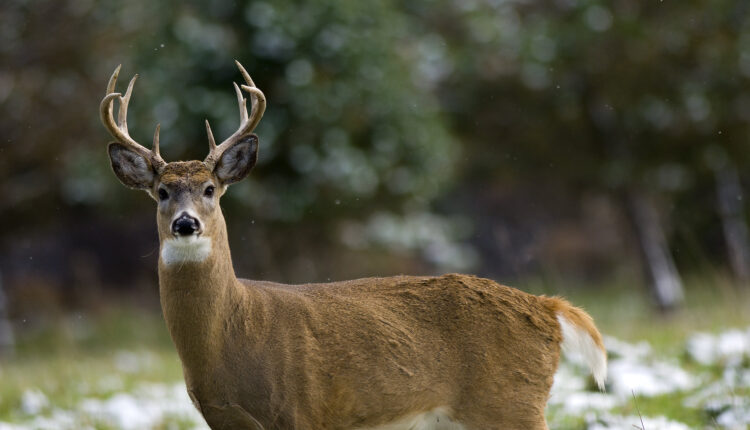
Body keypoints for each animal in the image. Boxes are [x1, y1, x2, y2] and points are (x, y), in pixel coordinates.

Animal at [100, 61, 607, 430]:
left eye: (209, 188)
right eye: (162, 192)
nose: (186, 224)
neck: (232, 331)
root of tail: (546, 307)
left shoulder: (299, 410)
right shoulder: (224, 419)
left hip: (511, 402)